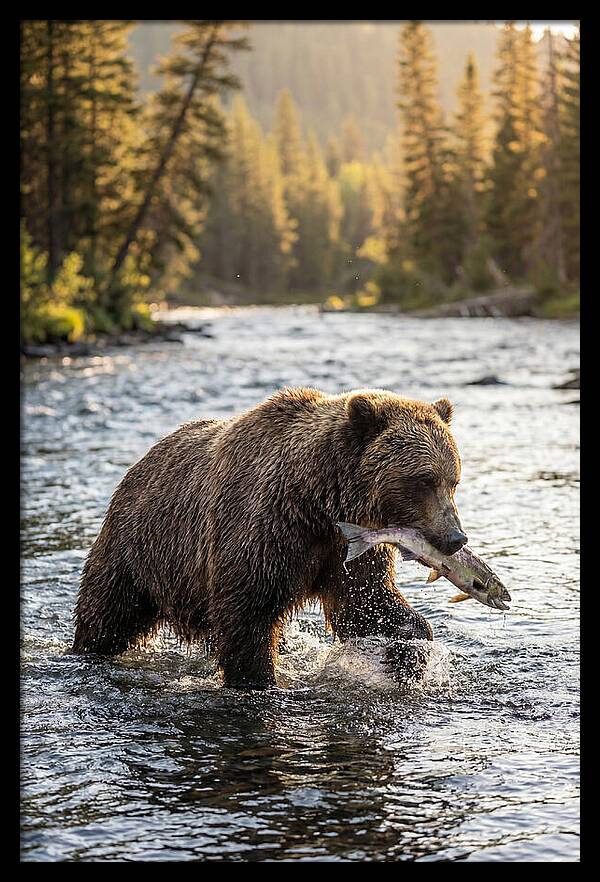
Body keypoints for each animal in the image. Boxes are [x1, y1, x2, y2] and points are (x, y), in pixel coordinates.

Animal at [72, 387, 467, 688]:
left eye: (453, 480)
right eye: (423, 480)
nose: (455, 538)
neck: (318, 502)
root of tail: (140, 462)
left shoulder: (347, 547)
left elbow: (366, 602)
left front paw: (410, 650)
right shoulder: (264, 530)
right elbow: (247, 614)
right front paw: (258, 679)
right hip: (140, 548)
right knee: (108, 613)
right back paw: (87, 650)